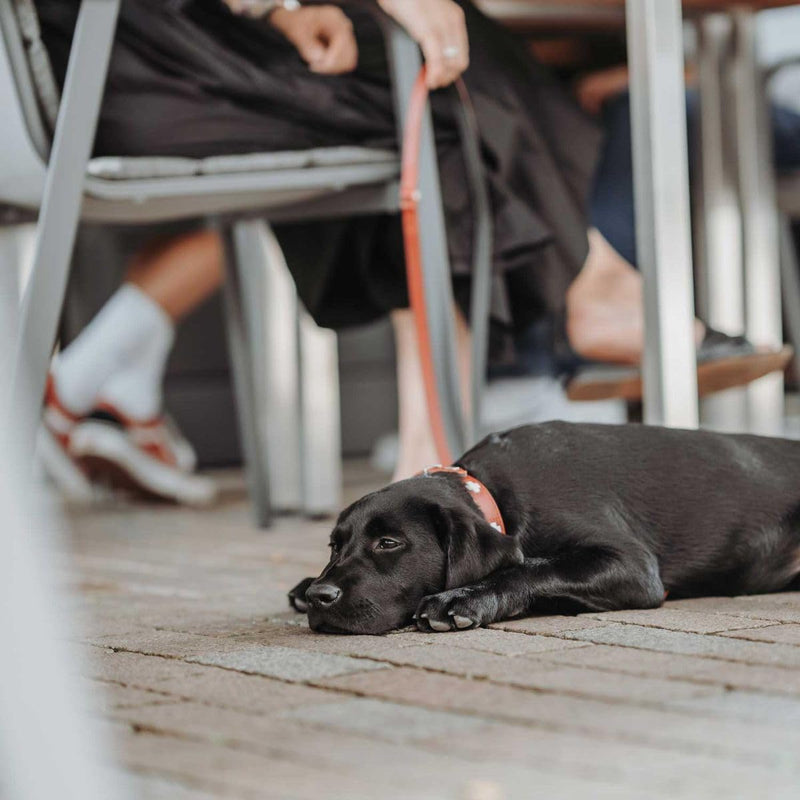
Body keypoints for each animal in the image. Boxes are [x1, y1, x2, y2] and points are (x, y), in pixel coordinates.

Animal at [288, 422, 800, 636]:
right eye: (334, 546)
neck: (493, 491)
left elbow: (531, 567)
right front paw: (303, 584)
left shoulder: (634, 566)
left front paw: (464, 599)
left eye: (389, 542)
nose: (321, 597)